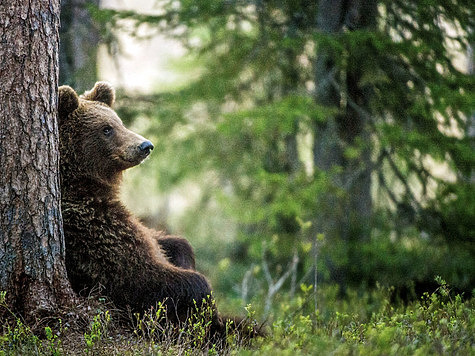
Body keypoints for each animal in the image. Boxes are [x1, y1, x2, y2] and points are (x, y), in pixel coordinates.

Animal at [57, 82, 232, 336]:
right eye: (106, 129)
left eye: (120, 122)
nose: (145, 145)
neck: (84, 186)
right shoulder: (94, 234)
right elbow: (142, 277)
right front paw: (209, 318)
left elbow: (170, 242)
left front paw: (183, 255)